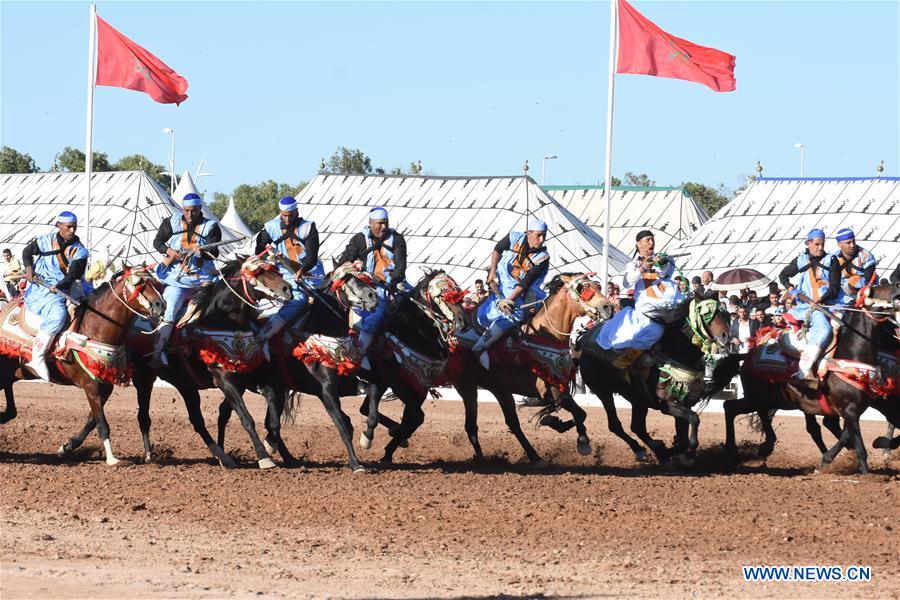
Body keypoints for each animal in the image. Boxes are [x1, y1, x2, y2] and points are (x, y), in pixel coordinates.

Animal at [0, 270, 164, 466]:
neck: (93, 328)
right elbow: (102, 424)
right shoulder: (91, 386)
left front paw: (66, 447)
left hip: (10, 374)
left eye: (155, 282)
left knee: (11, 409)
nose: (161, 304)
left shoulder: (105, 386)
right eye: (139, 284)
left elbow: (92, 420)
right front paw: (111, 458)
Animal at [712, 282, 900, 474]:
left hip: (774, 399)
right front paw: (865, 472)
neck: (851, 356)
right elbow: (860, 446)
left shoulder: (855, 409)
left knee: (742, 409)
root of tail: (749, 354)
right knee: (732, 407)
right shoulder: (850, 409)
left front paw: (831, 459)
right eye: (884, 293)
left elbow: (847, 436)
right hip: (760, 396)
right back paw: (737, 448)